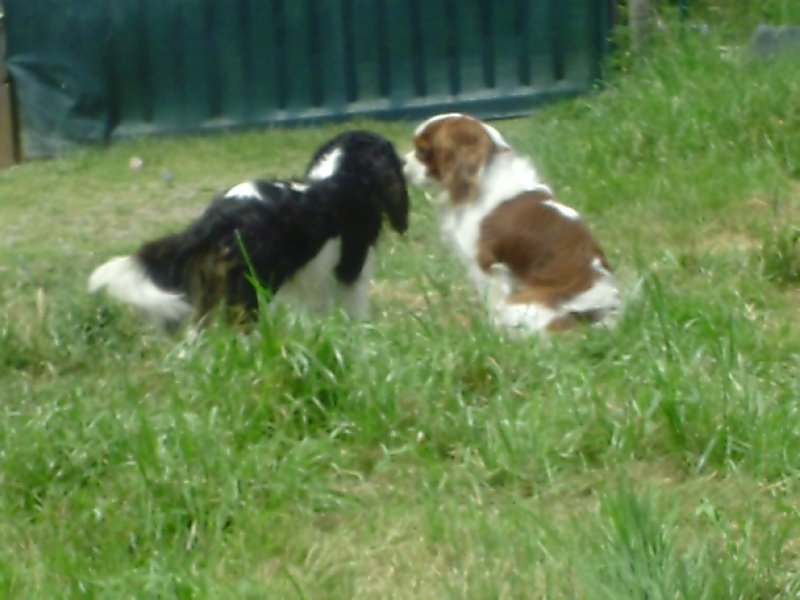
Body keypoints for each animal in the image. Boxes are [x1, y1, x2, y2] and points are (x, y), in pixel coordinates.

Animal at [404, 115, 620, 336]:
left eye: (421, 150)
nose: (402, 161)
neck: (484, 177)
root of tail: (599, 313)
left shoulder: (487, 266)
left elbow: (492, 305)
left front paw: (491, 333)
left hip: (520, 305)